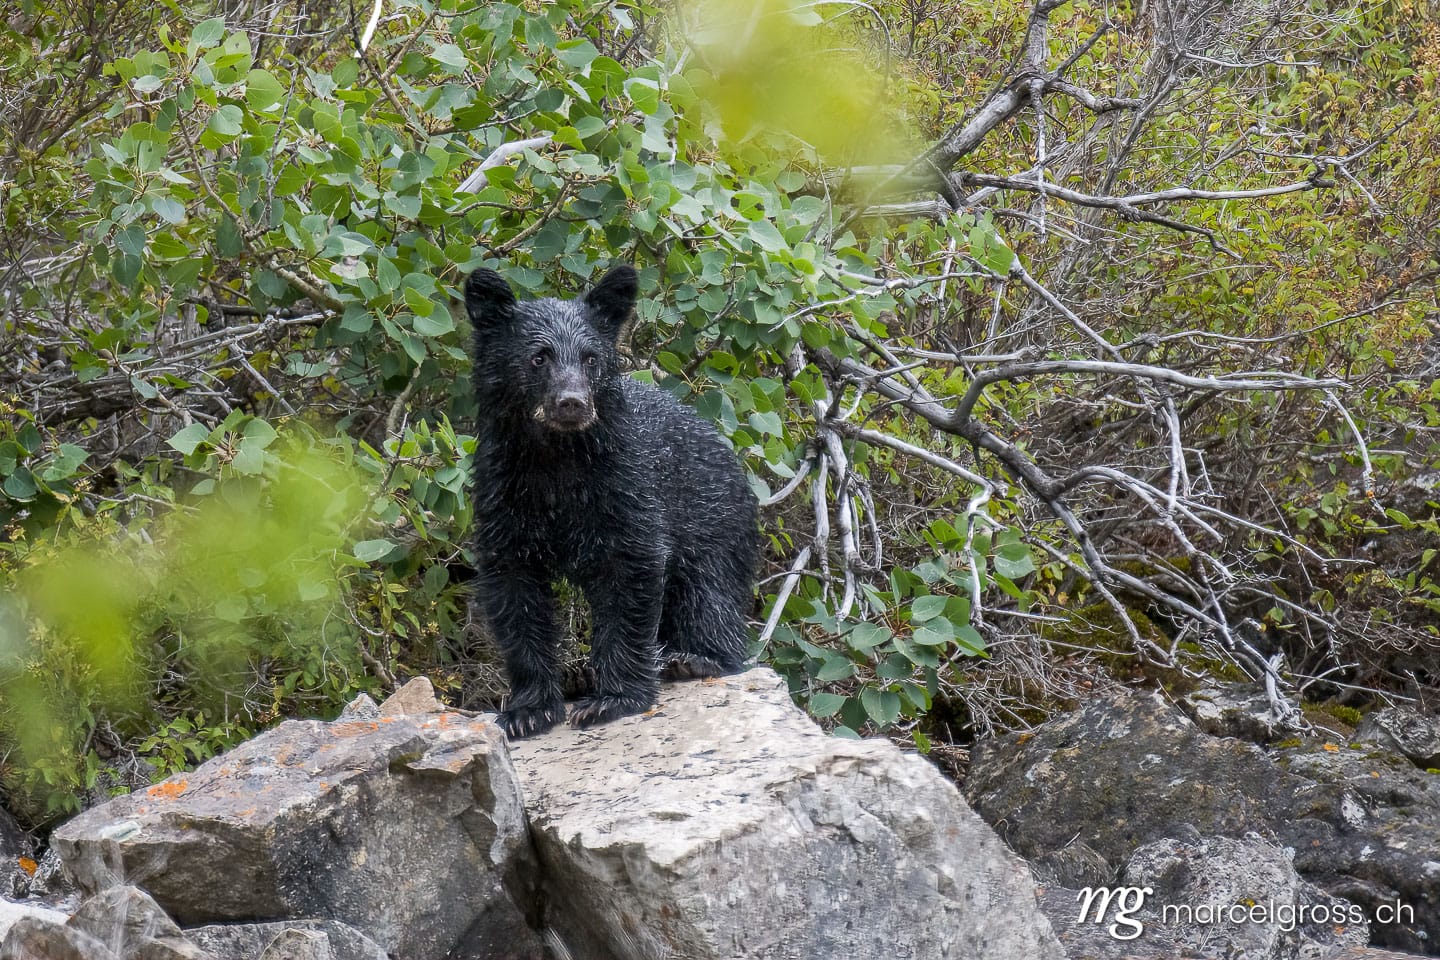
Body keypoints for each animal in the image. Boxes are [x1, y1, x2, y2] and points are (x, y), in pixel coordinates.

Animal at [465, 264, 759, 739]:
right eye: (538, 357)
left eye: (591, 358)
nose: (572, 403)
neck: (556, 460)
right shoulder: (503, 496)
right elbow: (514, 592)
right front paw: (528, 710)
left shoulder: (626, 487)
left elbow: (630, 575)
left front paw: (611, 700)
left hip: (714, 518)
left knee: (710, 593)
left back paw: (694, 659)